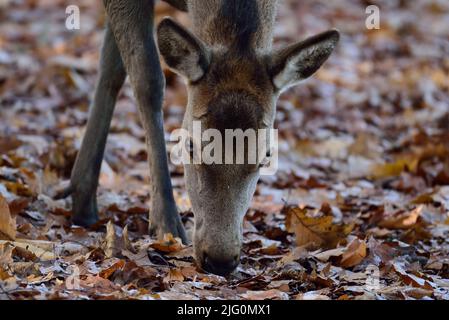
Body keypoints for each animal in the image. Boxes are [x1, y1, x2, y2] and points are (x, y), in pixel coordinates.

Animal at [64, 0, 340, 276]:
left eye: (267, 155)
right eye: (190, 146)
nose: (219, 259)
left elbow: (112, 66)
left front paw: (82, 198)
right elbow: (147, 79)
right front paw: (166, 225)